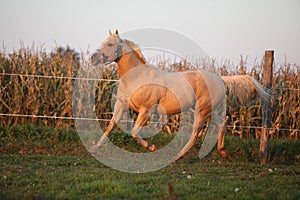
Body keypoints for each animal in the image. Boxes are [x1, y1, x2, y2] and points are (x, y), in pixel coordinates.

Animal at [89, 30, 270, 161]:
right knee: (221, 123)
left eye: (110, 44)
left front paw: (151, 147)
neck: (137, 78)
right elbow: (111, 126)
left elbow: (134, 132)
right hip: (207, 111)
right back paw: (223, 152)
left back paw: (177, 156)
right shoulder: (121, 105)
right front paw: (94, 149)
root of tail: (219, 78)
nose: (92, 58)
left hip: (202, 111)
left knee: (196, 133)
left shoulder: (146, 111)